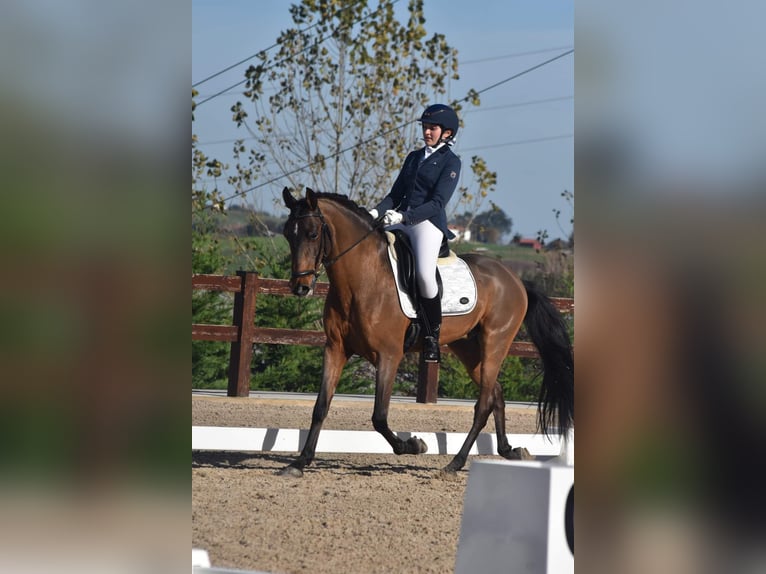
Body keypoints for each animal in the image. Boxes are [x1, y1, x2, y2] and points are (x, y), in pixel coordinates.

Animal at [280, 187, 572, 480]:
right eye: (287, 235)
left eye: (313, 234)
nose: (300, 287)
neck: (361, 281)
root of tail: (515, 280)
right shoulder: (335, 349)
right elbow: (320, 407)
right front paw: (299, 462)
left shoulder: (389, 355)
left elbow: (379, 416)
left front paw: (413, 445)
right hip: (468, 348)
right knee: (496, 393)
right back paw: (509, 450)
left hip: (496, 342)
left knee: (483, 404)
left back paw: (455, 464)